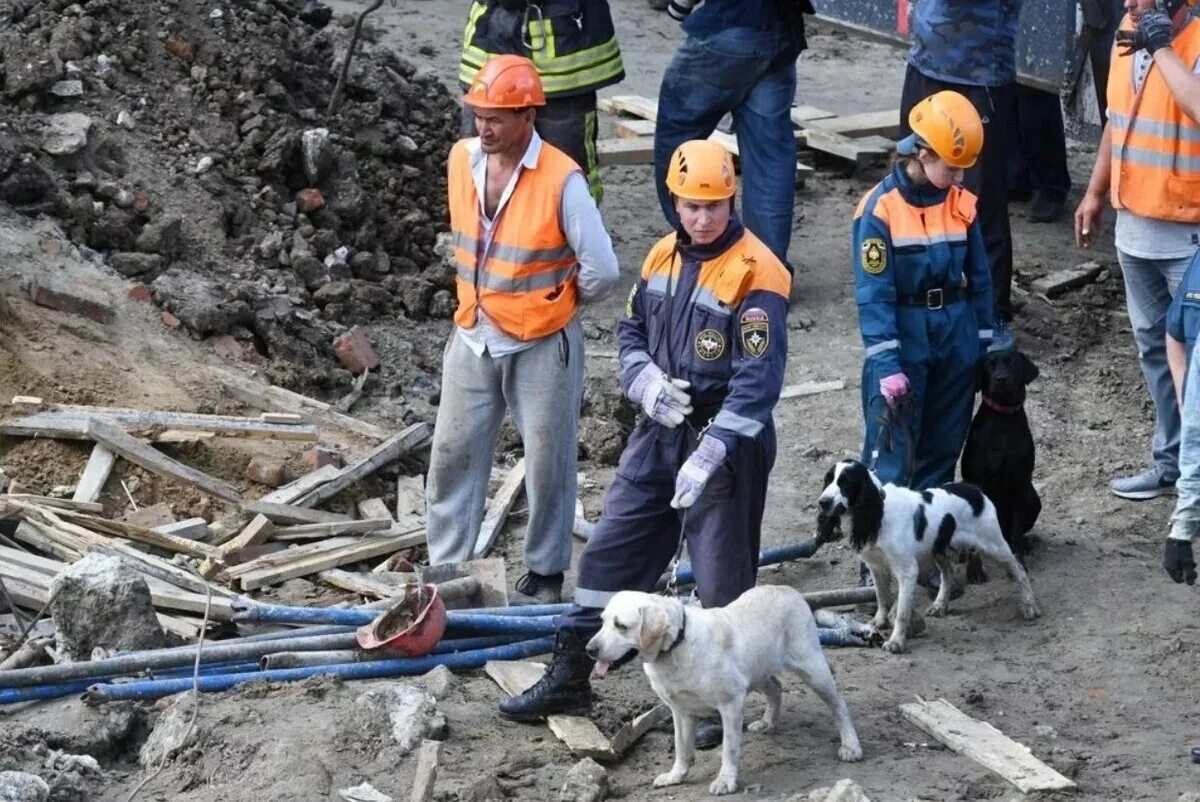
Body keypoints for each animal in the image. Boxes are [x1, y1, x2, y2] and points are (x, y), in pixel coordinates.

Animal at [585, 585, 859, 792]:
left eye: (621, 625)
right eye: (602, 622)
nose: (589, 649)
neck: (675, 647)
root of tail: (789, 590)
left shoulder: (731, 703)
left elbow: (729, 748)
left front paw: (725, 781)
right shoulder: (680, 711)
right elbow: (681, 747)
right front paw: (676, 776)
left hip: (812, 668)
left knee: (840, 704)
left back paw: (851, 746)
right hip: (757, 670)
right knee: (776, 687)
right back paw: (768, 722)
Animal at [816, 461, 1041, 653]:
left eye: (845, 482)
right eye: (828, 479)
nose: (823, 502)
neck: (878, 513)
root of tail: (975, 491)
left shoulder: (907, 570)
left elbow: (902, 612)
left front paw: (896, 642)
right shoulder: (876, 567)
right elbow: (881, 598)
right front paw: (878, 622)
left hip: (994, 545)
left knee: (1019, 570)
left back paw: (1030, 606)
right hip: (938, 549)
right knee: (948, 573)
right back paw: (940, 605)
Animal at [960, 348, 1036, 573]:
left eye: (1013, 364)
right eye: (989, 365)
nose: (1001, 379)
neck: (1002, 419)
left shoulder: (1021, 483)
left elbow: (1016, 532)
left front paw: (1019, 562)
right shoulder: (976, 479)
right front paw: (974, 570)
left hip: (1032, 496)